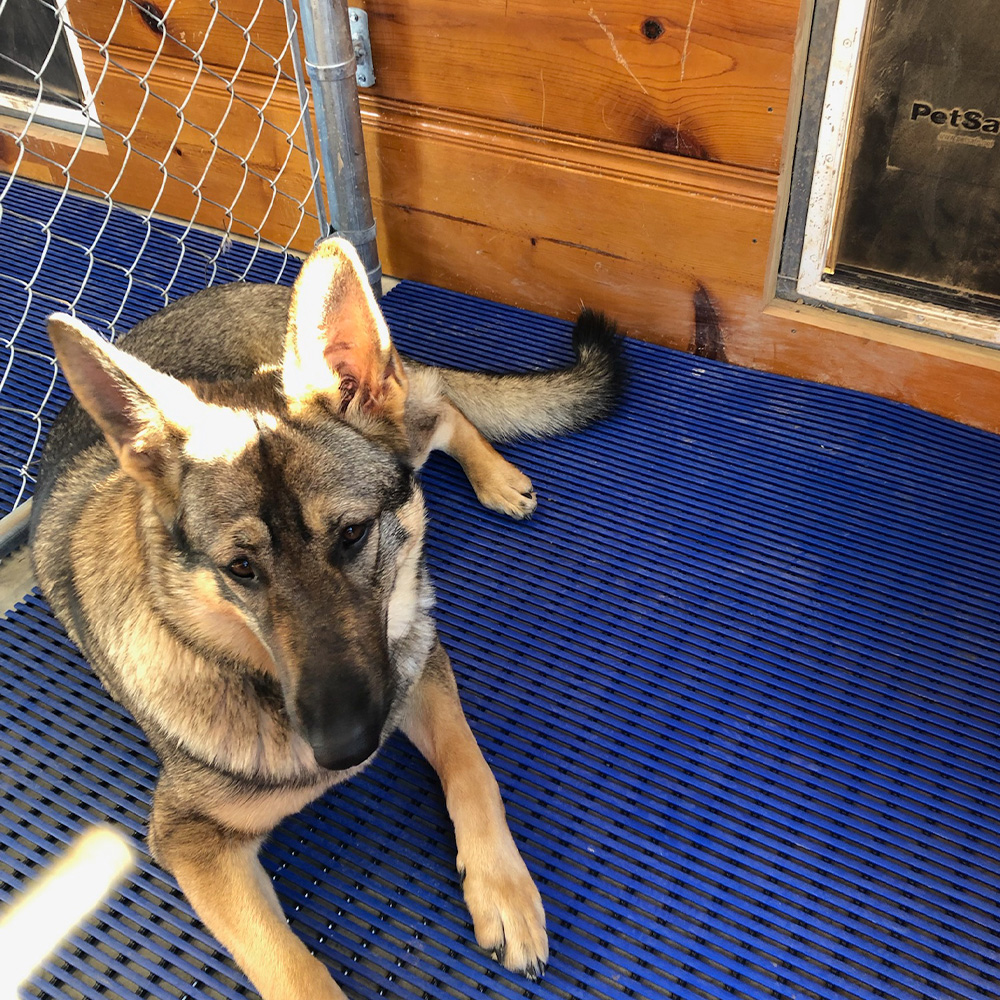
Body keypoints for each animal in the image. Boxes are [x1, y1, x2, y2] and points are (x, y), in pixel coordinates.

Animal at [29, 242, 624, 1000]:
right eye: (241, 569)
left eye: (351, 534)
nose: (348, 749)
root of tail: (237, 288)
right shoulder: (193, 840)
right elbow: (292, 969)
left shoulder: (418, 669)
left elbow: (473, 769)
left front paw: (502, 889)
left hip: (407, 429)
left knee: (440, 407)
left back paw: (496, 476)